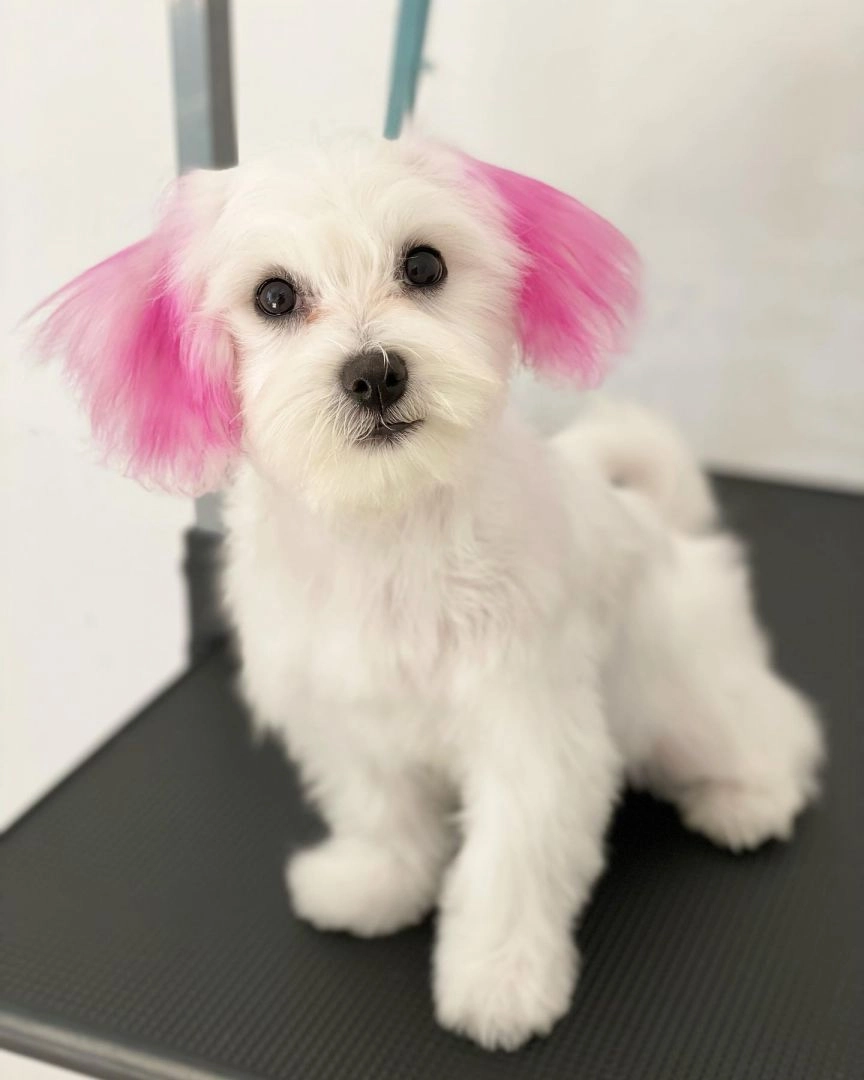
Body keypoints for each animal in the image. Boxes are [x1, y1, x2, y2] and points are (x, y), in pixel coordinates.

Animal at [35, 134, 824, 1051]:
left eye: (424, 264)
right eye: (274, 296)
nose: (374, 373)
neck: (386, 531)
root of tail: (662, 524)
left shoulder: (530, 732)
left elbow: (510, 864)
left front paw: (499, 981)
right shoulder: (348, 718)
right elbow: (382, 815)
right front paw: (375, 885)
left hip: (687, 696)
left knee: (773, 729)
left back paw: (748, 800)